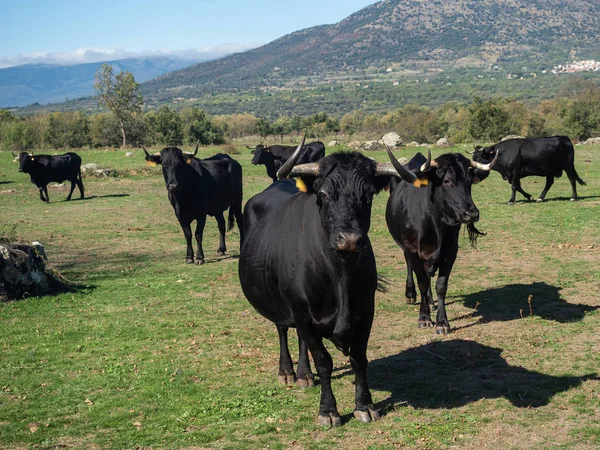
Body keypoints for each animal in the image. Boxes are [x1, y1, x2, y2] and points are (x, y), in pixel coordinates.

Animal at [237, 136, 420, 426]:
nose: (350, 239)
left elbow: (359, 358)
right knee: (283, 329)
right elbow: (323, 361)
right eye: (323, 195)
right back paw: (288, 371)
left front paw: (365, 405)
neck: (340, 276)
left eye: (368, 196)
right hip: (281, 303)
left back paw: (304, 374)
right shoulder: (303, 315)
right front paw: (328, 411)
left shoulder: (365, 313)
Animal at [384, 148, 496, 334]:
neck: (434, 223)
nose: (471, 214)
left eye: (469, 181)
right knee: (411, 267)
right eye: (446, 181)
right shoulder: (412, 249)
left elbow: (441, 285)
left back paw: (430, 301)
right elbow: (422, 281)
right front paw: (424, 317)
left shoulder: (450, 251)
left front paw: (442, 322)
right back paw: (411, 294)